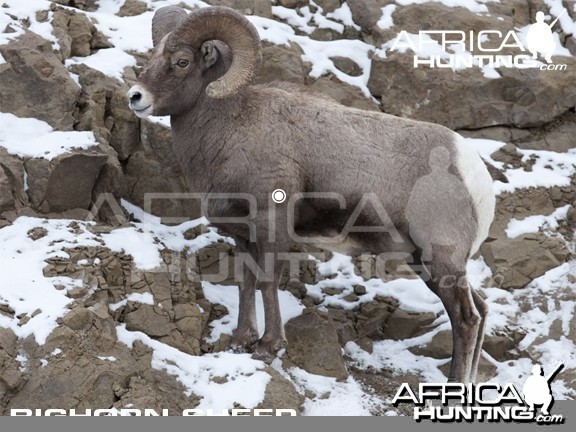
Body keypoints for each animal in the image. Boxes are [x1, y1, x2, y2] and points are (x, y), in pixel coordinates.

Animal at [128, 5, 502, 384]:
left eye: (182, 61)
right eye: (153, 56)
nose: (136, 97)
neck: (231, 127)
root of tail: (474, 175)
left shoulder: (272, 227)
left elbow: (267, 283)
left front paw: (268, 346)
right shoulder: (244, 235)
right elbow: (246, 284)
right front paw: (240, 341)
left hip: (440, 260)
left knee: (466, 319)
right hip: (427, 262)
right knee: (482, 309)